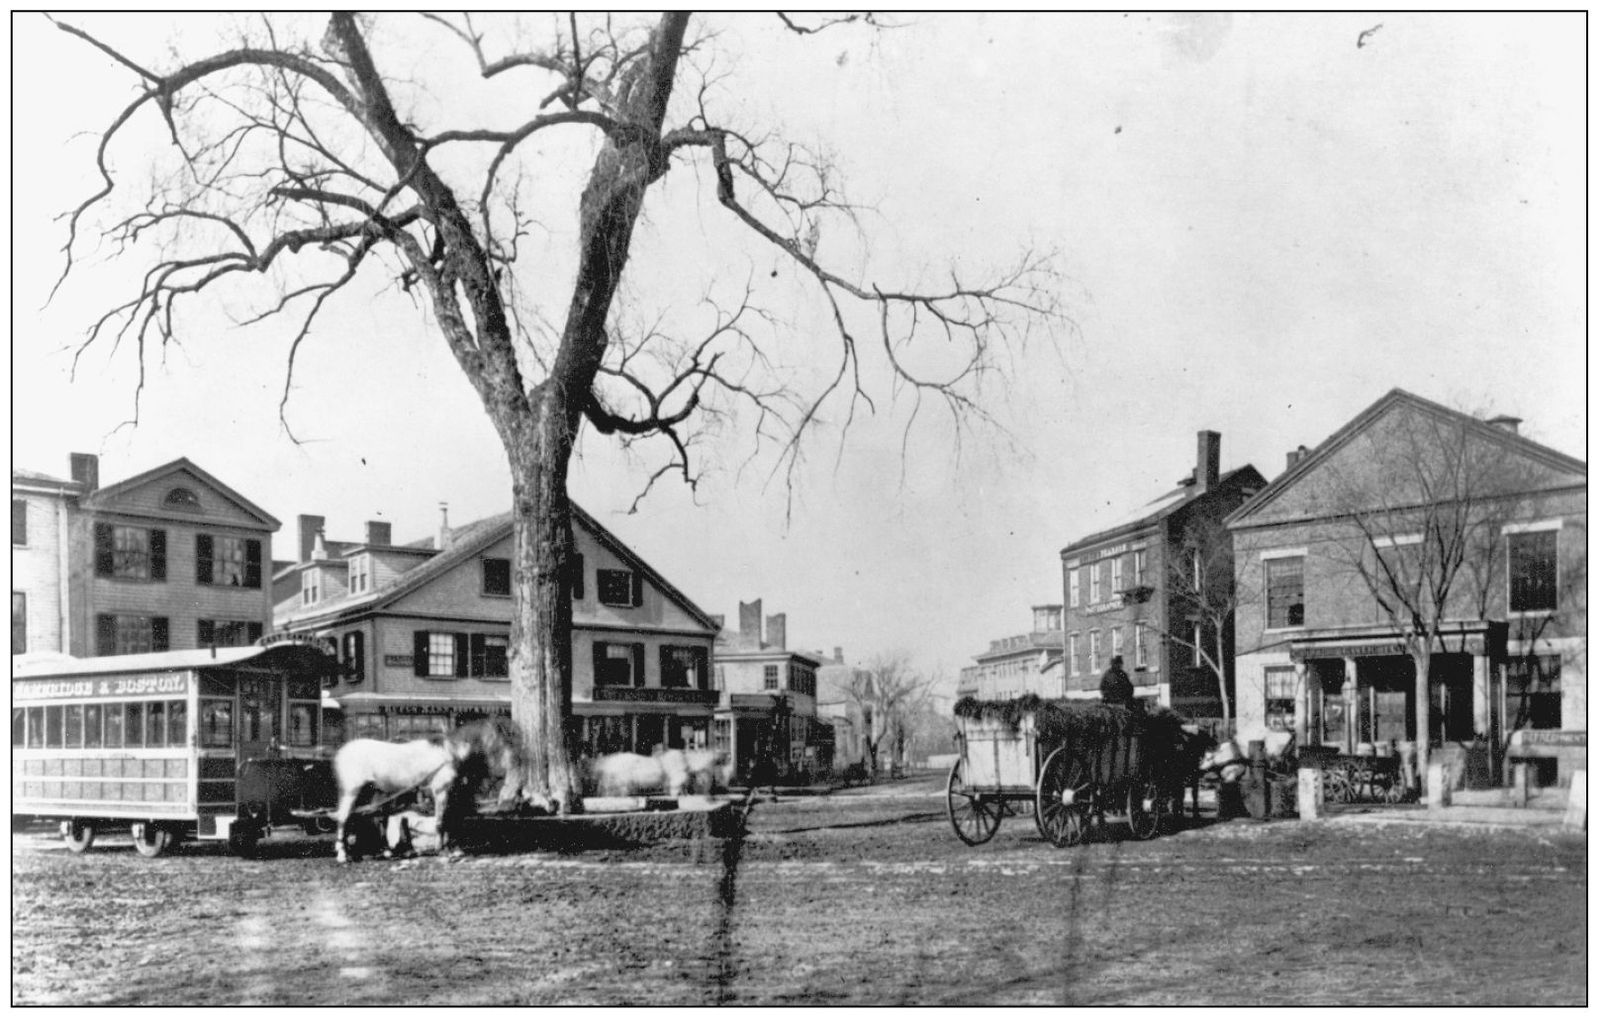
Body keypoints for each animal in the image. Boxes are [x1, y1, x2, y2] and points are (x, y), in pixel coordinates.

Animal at [330, 732, 468, 860]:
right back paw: (342, 855)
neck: (448, 753)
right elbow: (441, 821)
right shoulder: (441, 791)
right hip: (351, 792)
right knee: (343, 818)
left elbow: (449, 820)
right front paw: (443, 850)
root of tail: (341, 752)